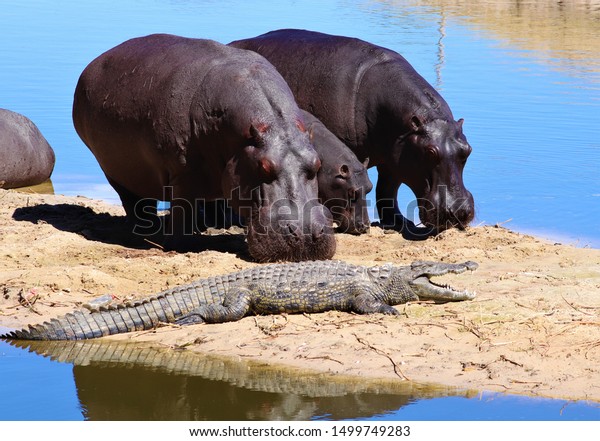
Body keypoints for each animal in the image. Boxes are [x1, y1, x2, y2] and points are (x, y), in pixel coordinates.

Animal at [72, 35, 336, 262]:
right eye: (263, 167)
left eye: (317, 164)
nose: (305, 234)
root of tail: (93, 65)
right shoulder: (181, 174)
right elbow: (182, 211)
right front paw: (180, 244)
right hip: (117, 172)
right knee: (136, 204)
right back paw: (150, 233)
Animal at [232, 30, 476, 237]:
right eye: (430, 151)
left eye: (467, 150)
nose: (460, 212)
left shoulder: (395, 158)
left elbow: (387, 191)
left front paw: (400, 223)